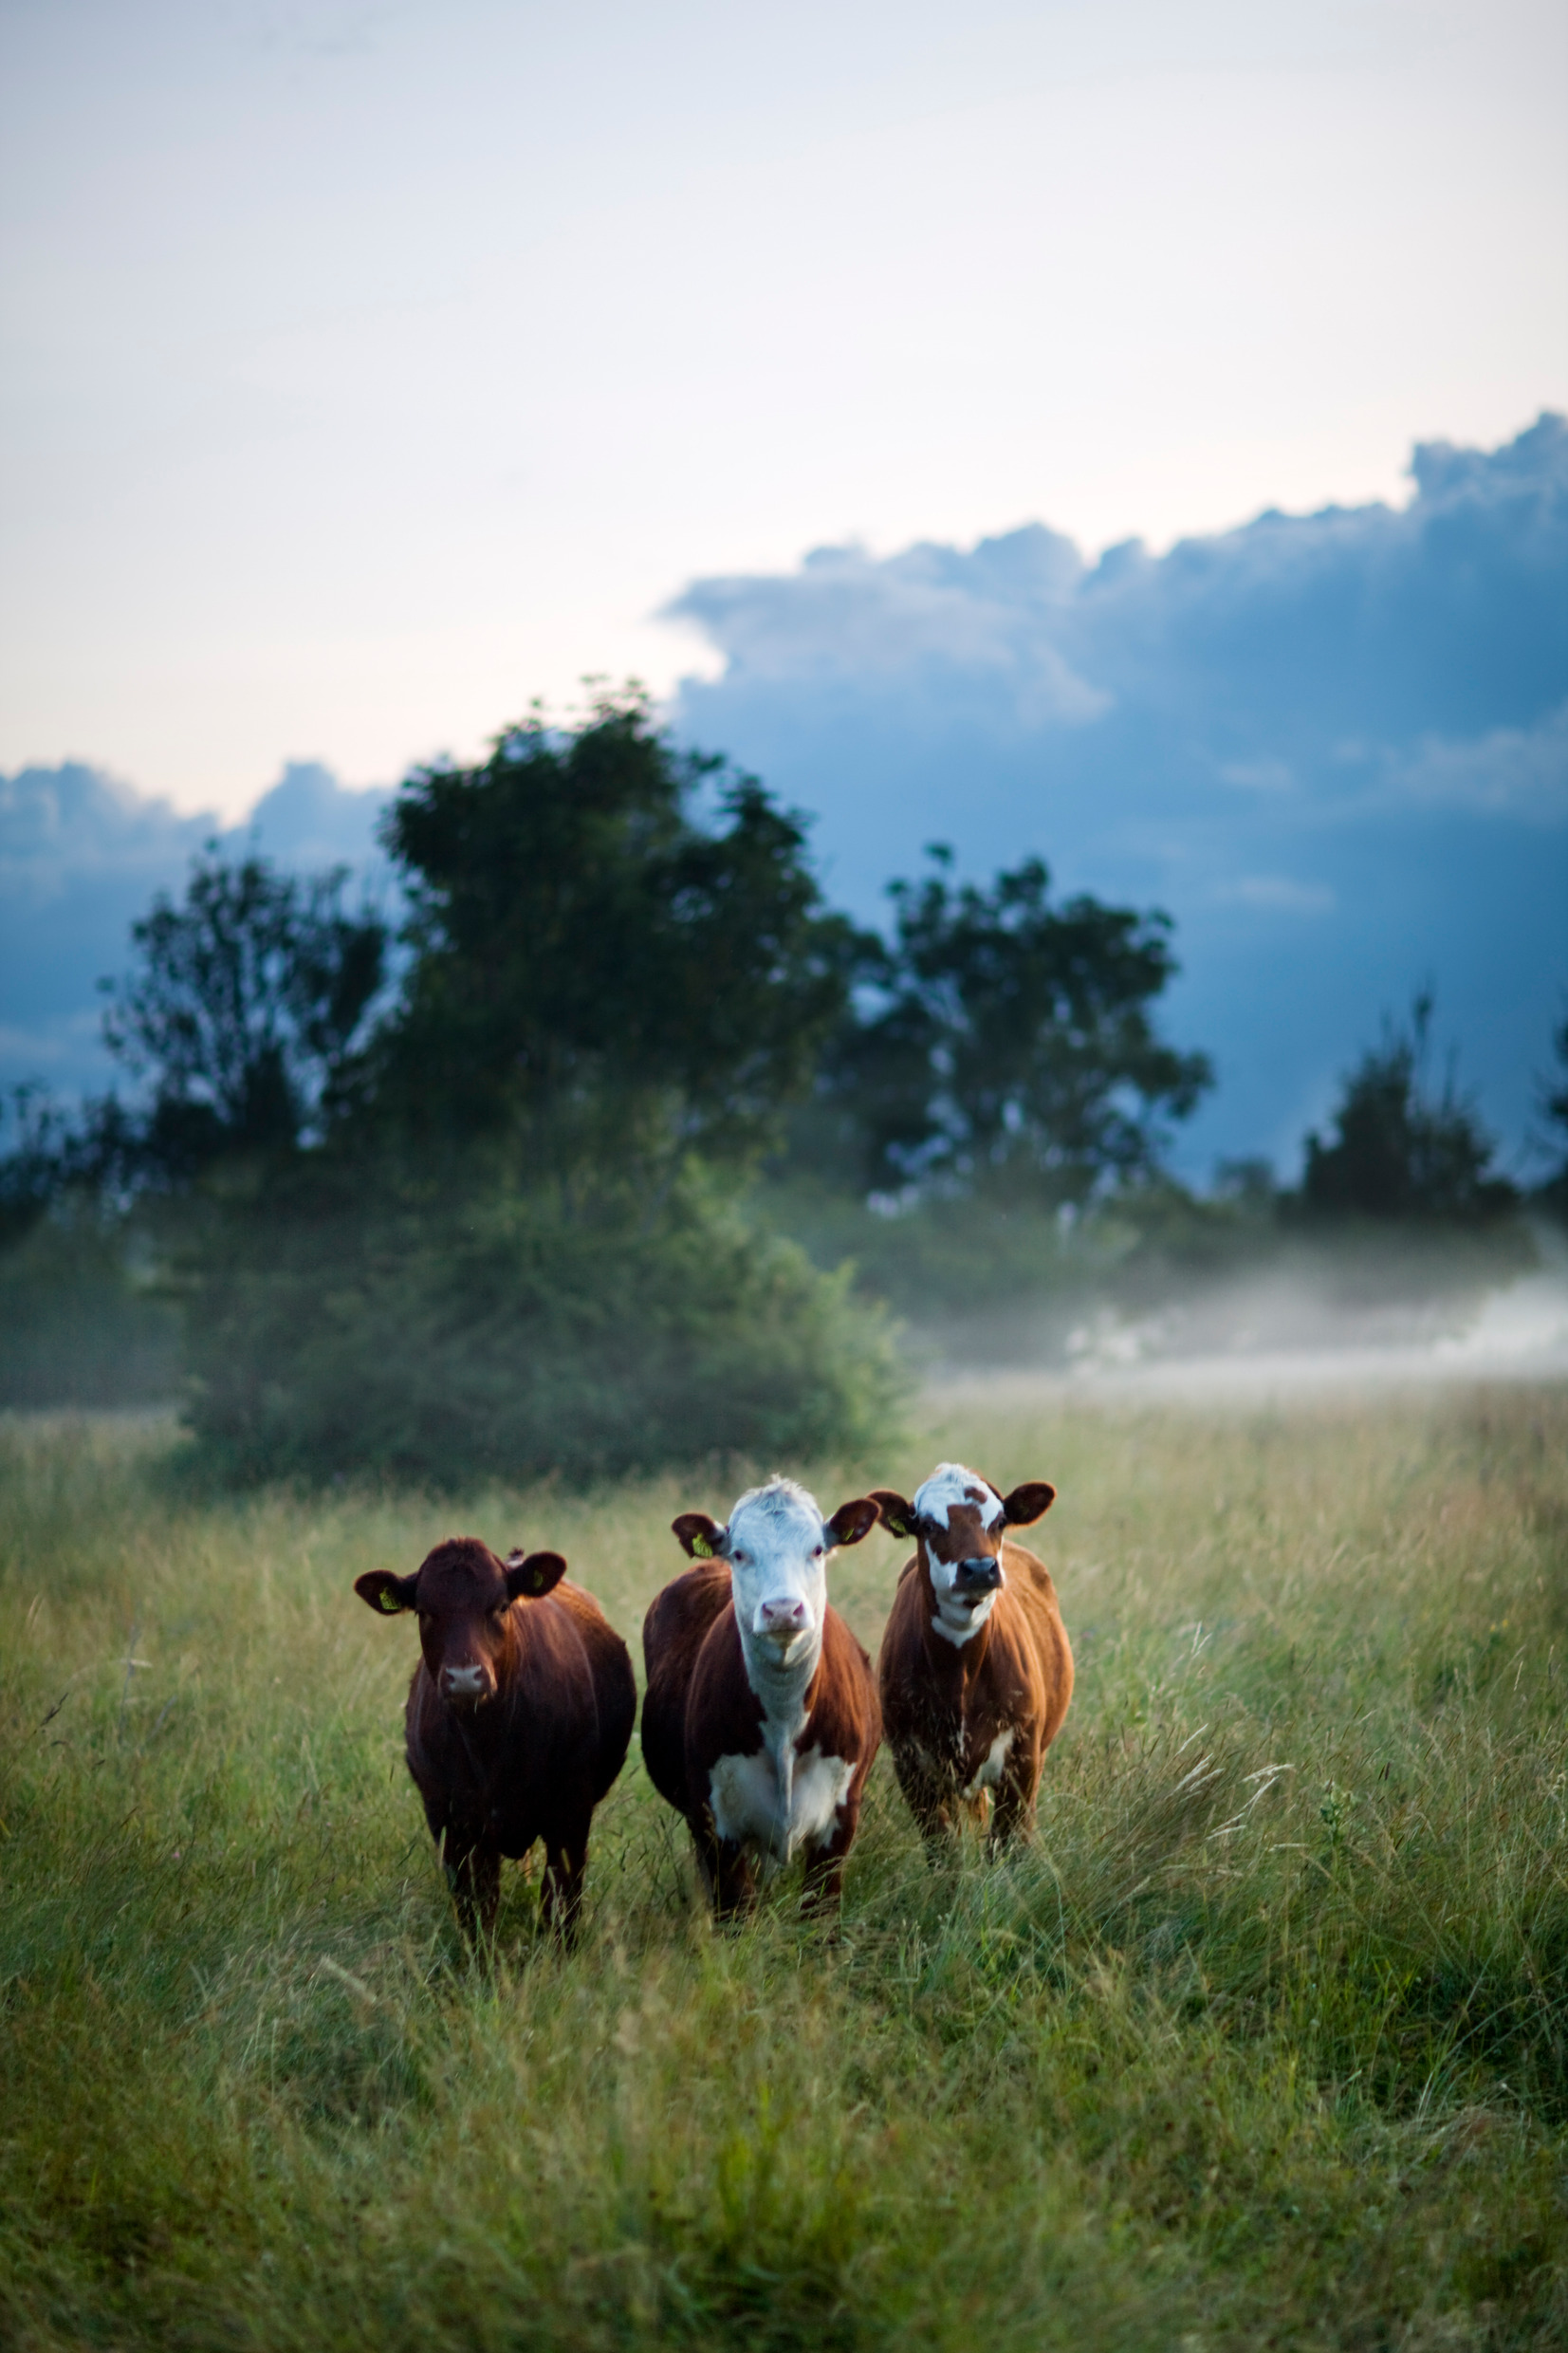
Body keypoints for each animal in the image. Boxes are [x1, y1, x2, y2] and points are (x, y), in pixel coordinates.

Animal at [360, 1533, 635, 1938]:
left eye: (501, 1606)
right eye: (425, 1611)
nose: (464, 1677)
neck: (488, 1746)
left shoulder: (570, 1814)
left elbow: (560, 1904)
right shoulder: (453, 1823)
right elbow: (476, 1909)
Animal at [639, 1477, 883, 1919]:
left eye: (817, 1549)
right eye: (740, 1552)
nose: (783, 1609)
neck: (784, 1720)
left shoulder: (840, 1817)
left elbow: (821, 1911)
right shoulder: (715, 1824)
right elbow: (736, 1910)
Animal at [878, 1449, 1072, 1854]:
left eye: (999, 1520)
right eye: (928, 1525)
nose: (980, 1568)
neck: (960, 1674)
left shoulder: (1022, 1760)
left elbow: (1006, 1846)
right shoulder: (912, 1765)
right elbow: (944, 1851)